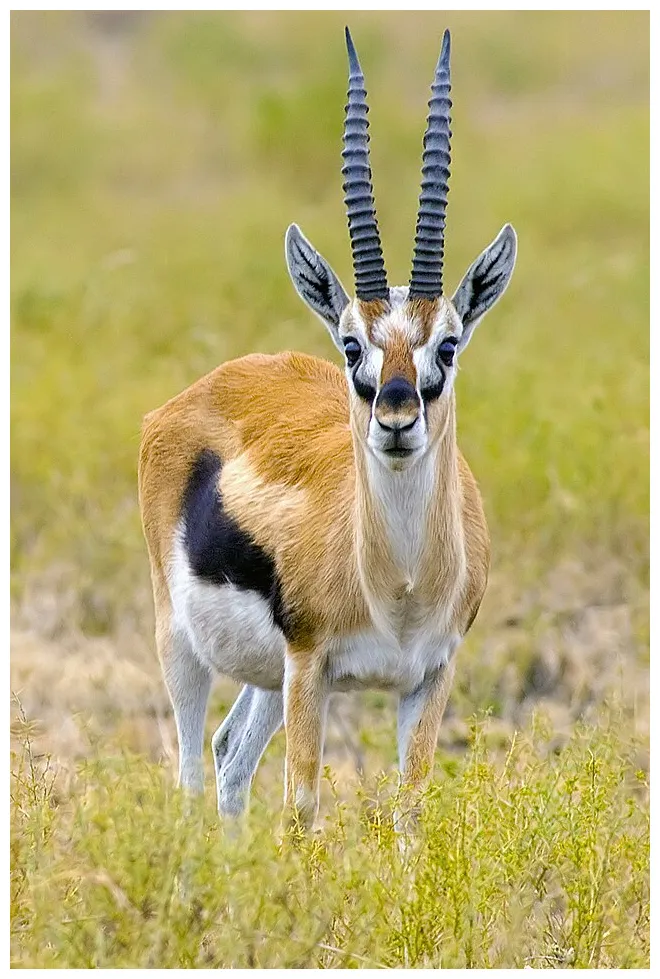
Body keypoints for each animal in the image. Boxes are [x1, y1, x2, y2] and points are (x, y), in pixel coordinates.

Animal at [138, 27, 517, 832]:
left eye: (448, 344)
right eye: (350, 345)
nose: (397, 416)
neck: (398, 584)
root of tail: (199, 391)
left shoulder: (429, 677)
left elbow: (410, 810)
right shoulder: (312, 665)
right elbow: (302, 809)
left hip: (265, 677)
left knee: (229, 753)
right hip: (184, 643)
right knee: (189, 770)